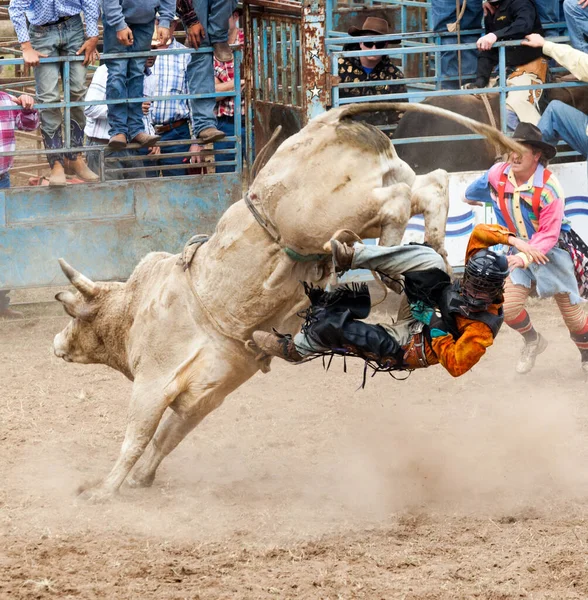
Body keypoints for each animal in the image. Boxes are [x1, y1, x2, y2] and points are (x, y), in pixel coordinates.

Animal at [54, 102, 524, 502]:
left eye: (76, 314)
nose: (57, 344)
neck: (134, 308)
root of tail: (328, 120)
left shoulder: (154, 380)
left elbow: (137, 436)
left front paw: (103, 490)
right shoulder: (207, 394)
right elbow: (170, 435)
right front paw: (140, 479)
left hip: (326, 212)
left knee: (398, 203)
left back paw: (387, 258)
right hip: (385, 183)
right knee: (432, 185)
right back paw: (429, 245)